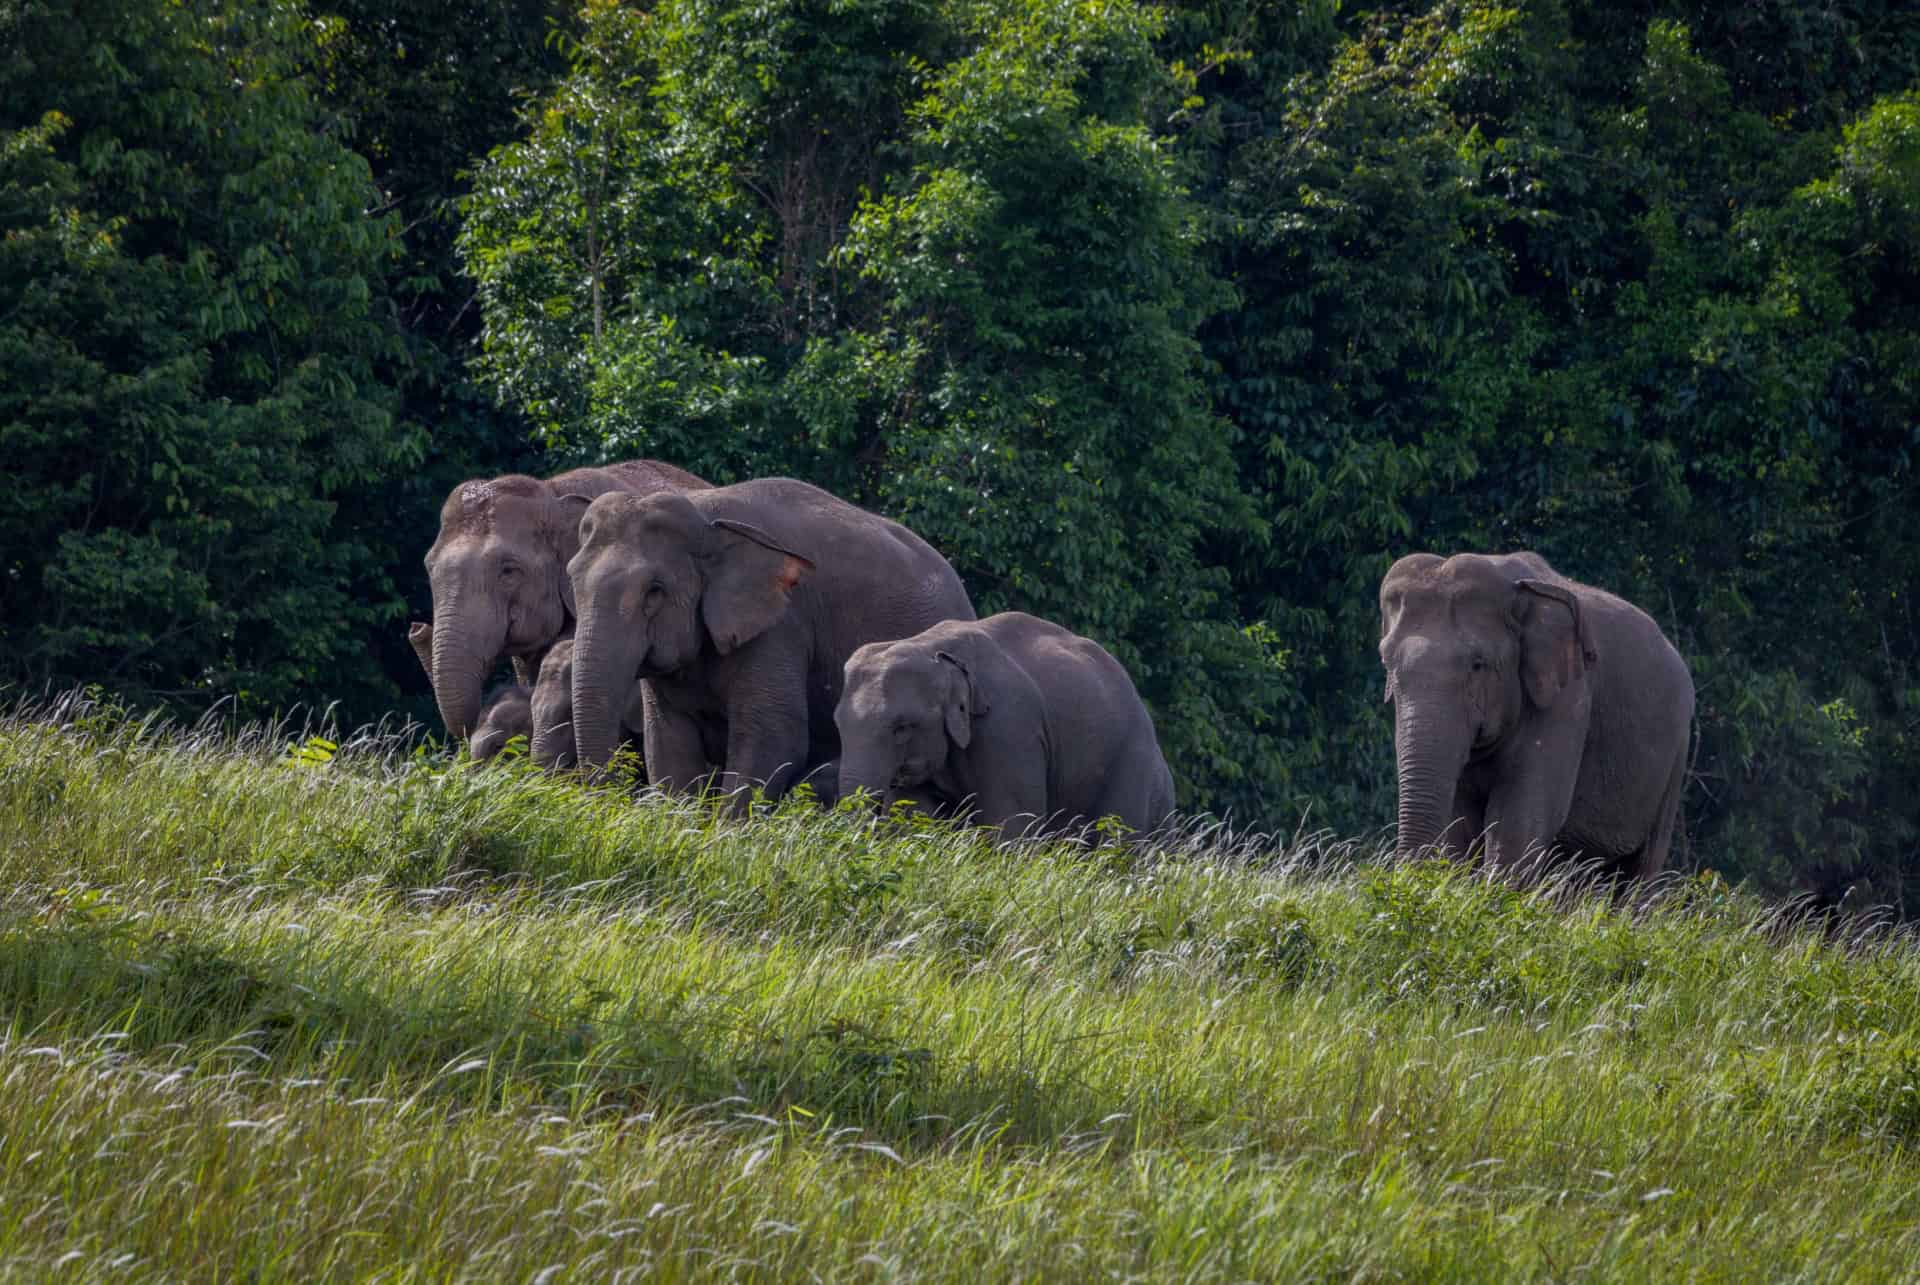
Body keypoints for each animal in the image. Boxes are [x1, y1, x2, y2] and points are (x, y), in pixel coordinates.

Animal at [560, 476, 967, 806]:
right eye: (572, 578)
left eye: (654, 591)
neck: (707, 515)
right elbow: (667, 741)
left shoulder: (783, 625)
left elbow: (772, 737)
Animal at [837, 610, 1175, 841]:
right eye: (838, 727)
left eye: (902, 728)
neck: (931, 648)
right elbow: (912, 815)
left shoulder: (1008, 728)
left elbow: (1011, 824)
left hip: (1130, 759)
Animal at [1382, 545, 1697, 875]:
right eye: (1386, 662)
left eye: (1478, 664)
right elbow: (1461, 821)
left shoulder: (1569, 697)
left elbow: (1521, 818)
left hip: (1676, 755)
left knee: (1643, 863)